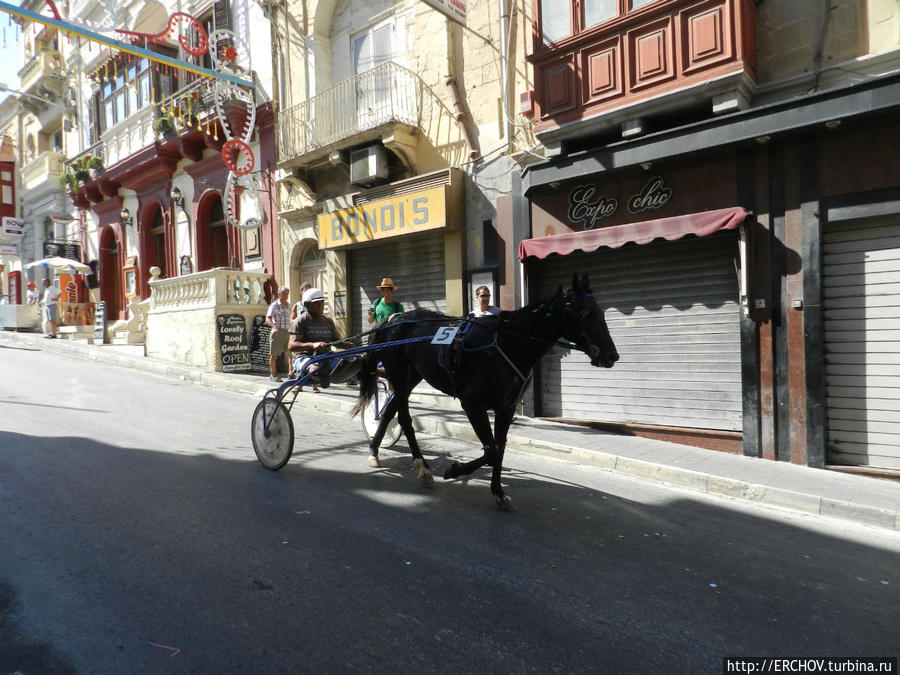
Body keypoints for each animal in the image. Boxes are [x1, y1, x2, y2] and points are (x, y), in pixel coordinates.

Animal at [352, 272, 620, 510]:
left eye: (600, 311)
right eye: (587, 312)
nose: (612, 355)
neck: (505, 344)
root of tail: (394, 319)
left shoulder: (506, 407)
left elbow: (499, 448)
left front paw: (499, 492)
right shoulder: (472, 405)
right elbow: (490, 451)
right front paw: (454, 469)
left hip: (412, 376)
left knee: (391, 411)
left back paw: (377, 450)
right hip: (399, 374)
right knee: (405, 418)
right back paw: (422, 466)